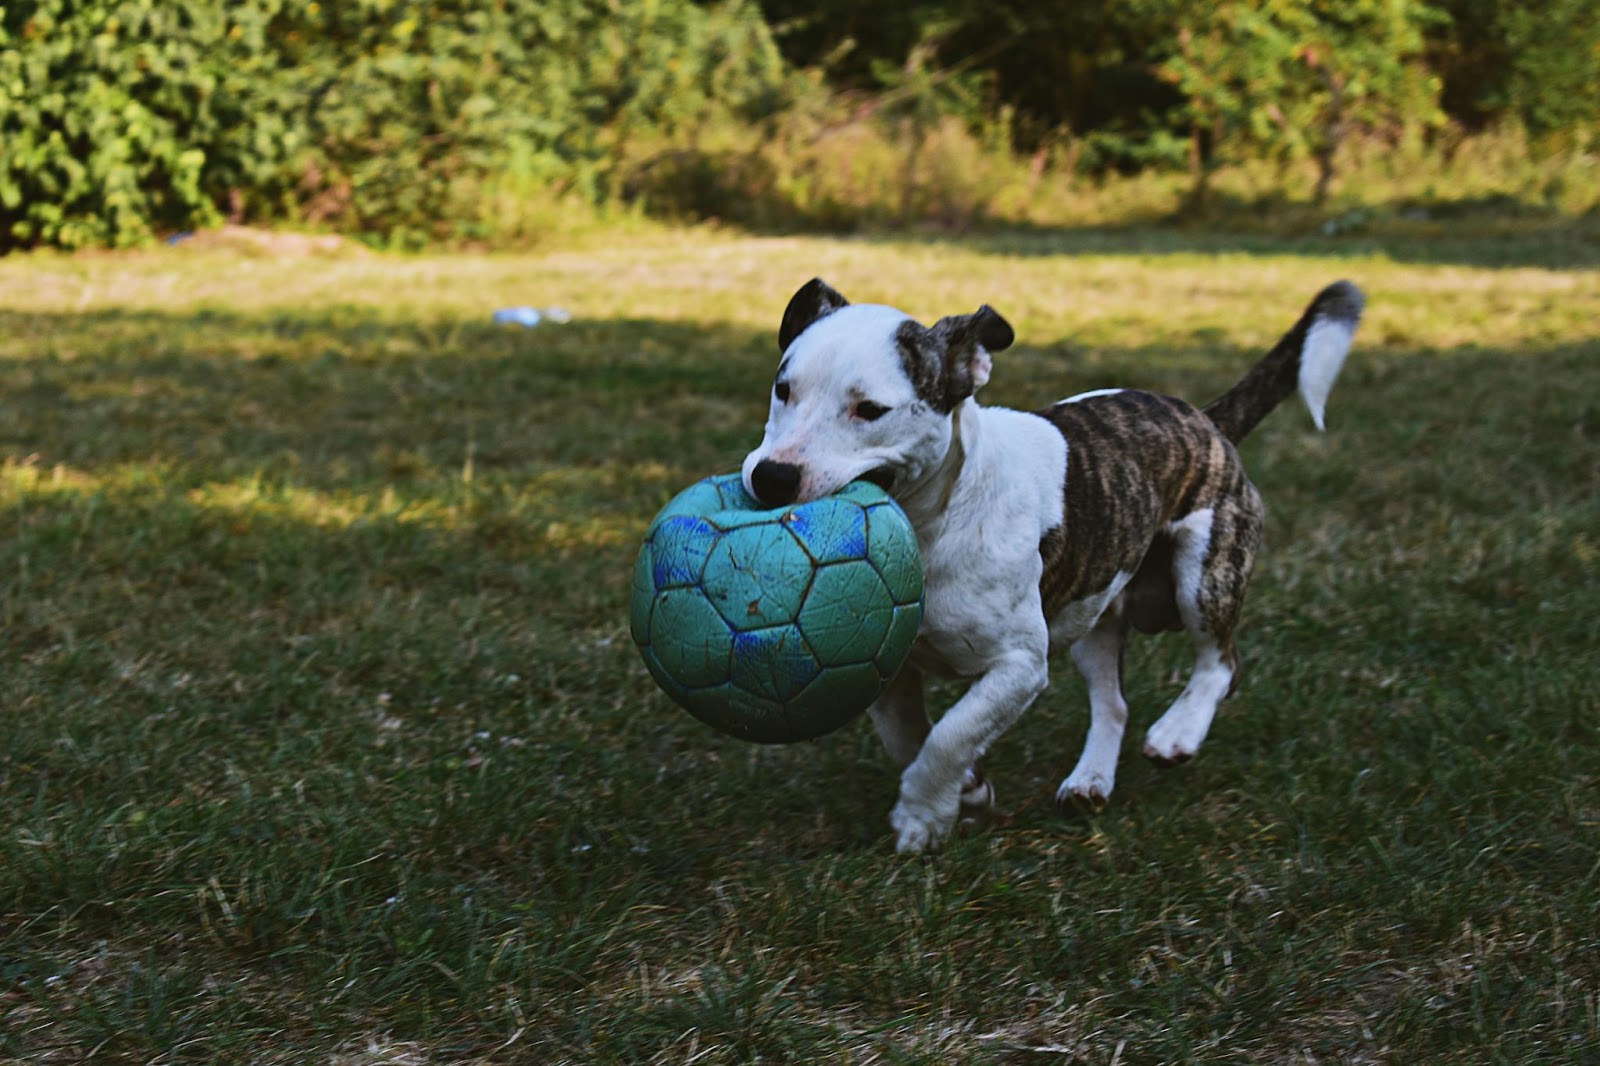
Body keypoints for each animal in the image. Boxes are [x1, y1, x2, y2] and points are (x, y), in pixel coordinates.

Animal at [736, 278, 1363, 851]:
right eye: (782, 388)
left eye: (870, 410)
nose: (773, 476)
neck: (933, 522)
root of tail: (1204, 421)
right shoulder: (879, 664)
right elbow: (908, 736)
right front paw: (968, 789)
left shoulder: (1018, 664)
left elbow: (951, 733)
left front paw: (922, 817)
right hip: (1095, 612)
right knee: (1113, 701)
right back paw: (1090, 781)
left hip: (1207, 570)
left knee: (1221, 660)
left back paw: (1177, 733)